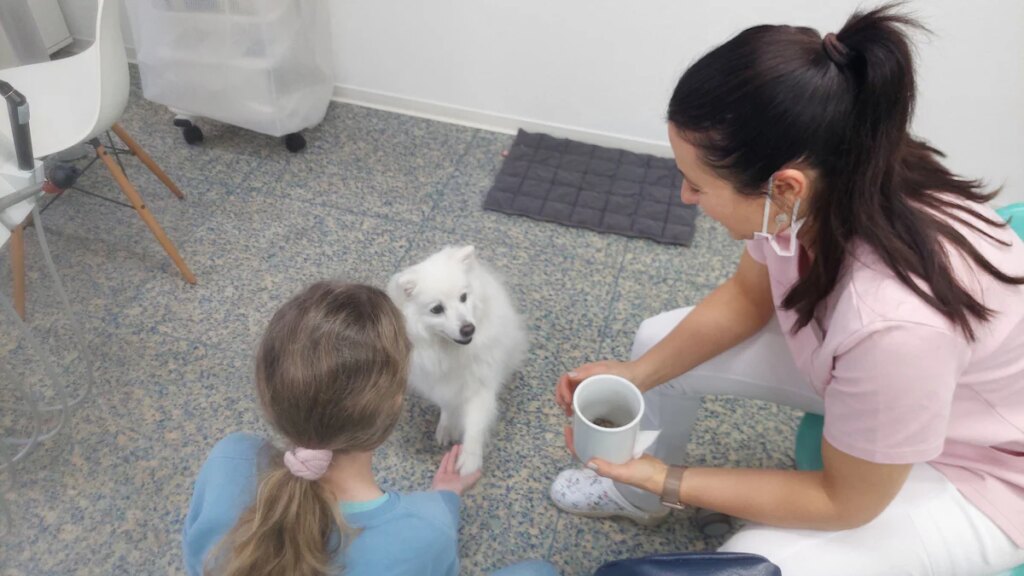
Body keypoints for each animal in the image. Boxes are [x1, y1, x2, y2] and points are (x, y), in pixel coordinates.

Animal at [387, 245, 527, 475]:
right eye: (437, 309)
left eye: (463, 297)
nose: (468, 328)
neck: (451, 351)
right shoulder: (440, 383)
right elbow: (448, 405)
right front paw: (446, 427)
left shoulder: (480, 386)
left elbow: (475, 425)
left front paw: (469, 460)